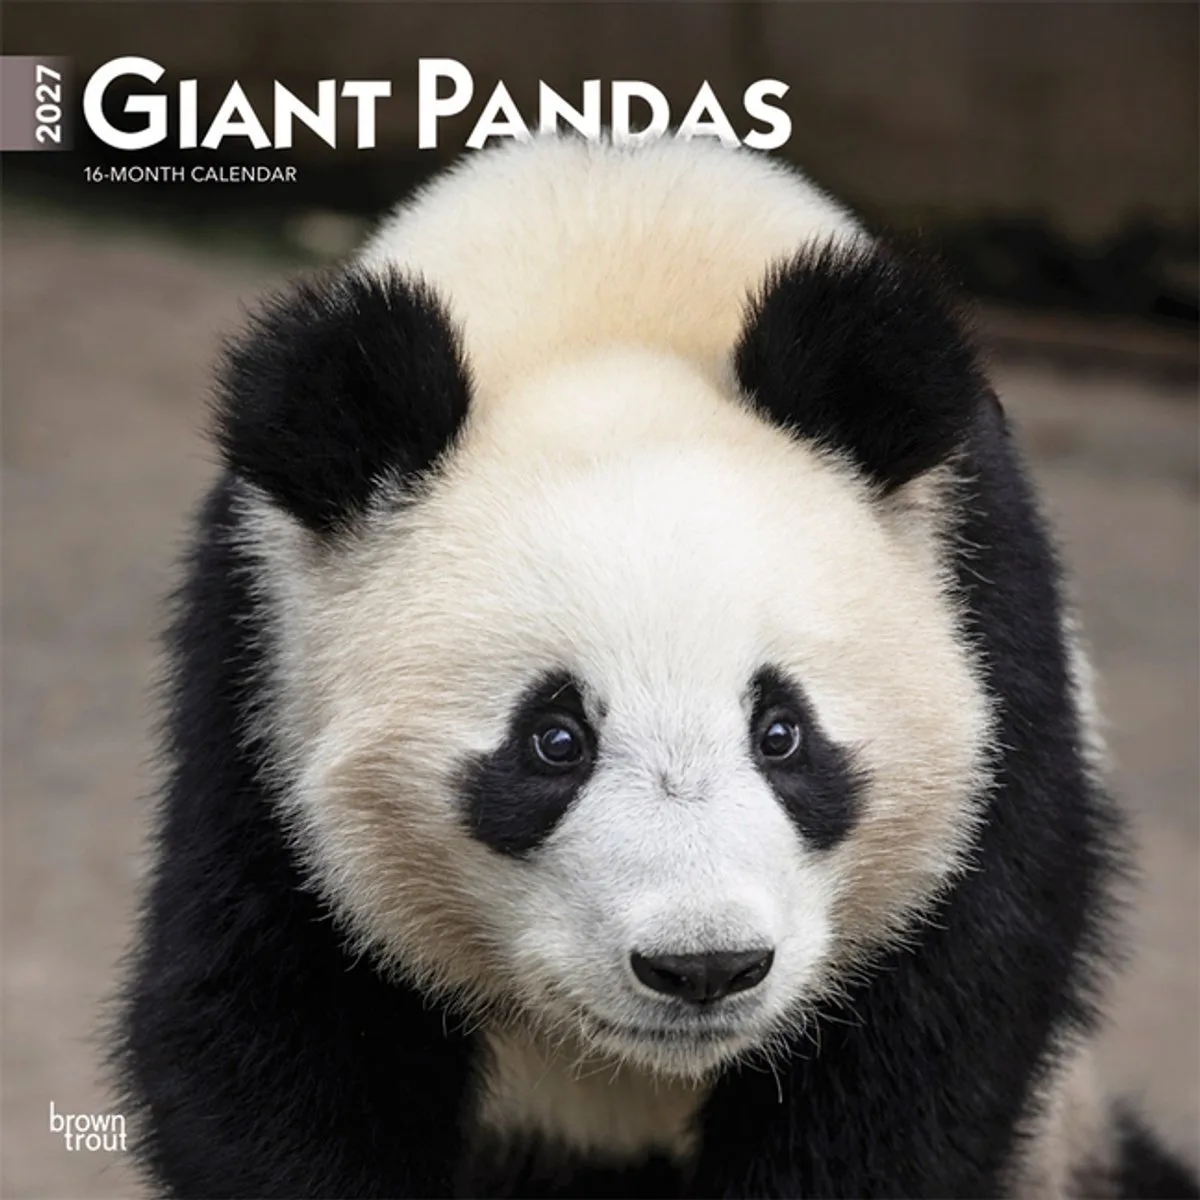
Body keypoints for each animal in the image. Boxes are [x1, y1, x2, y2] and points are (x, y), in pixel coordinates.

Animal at [114, 135, 1198, 1199]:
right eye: (553, 741)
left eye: (782, 732)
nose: (705, 966)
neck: (612, 267)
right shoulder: (261, 675)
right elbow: (266, 1026)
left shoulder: (989, 629)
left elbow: (927, 1041)